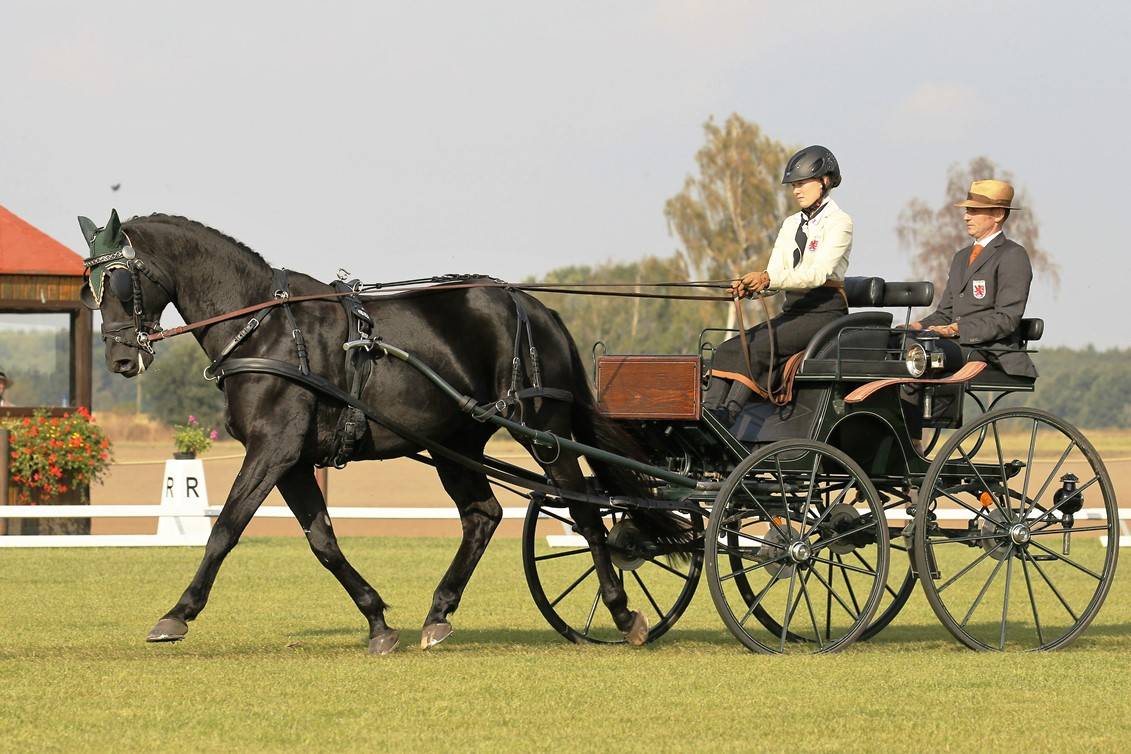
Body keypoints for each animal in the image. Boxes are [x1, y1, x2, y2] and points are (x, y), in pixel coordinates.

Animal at [80, 210, 682, 654]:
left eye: (121, 280)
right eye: (91, 286)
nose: (119, 358)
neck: (265, 329)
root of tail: (535, 307)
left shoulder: (273, 449)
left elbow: (225, 529)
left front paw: (177, 615)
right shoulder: (294, 461)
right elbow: (322, 541)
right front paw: (378, 622)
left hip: (543, 432)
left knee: (585, 508)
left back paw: (623, 612)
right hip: (456, 443)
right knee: (483, 516)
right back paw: (438, 614)